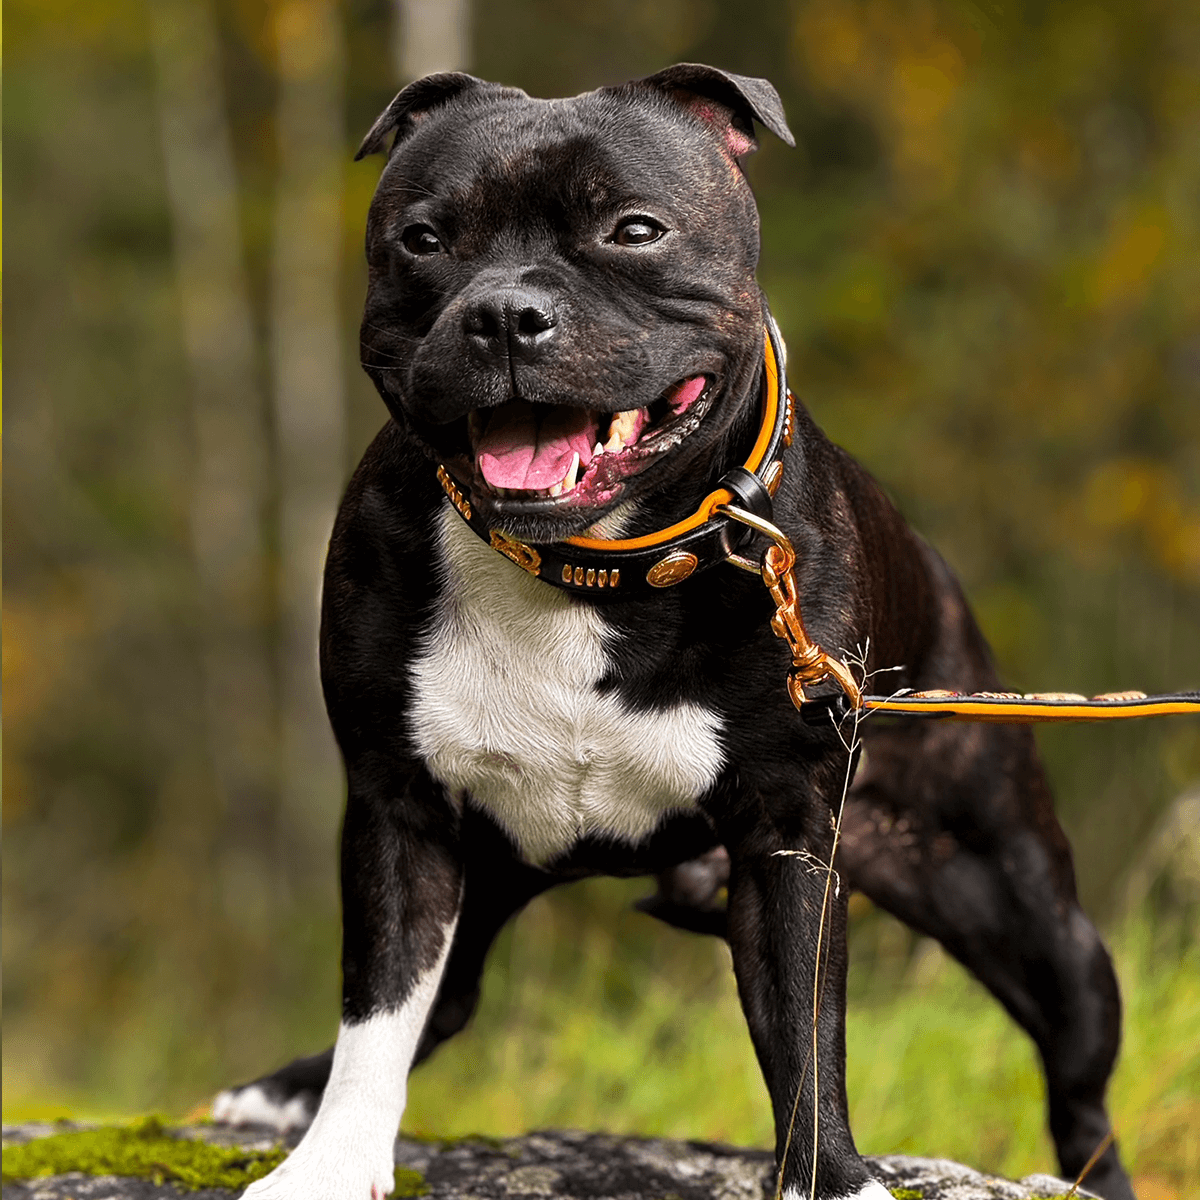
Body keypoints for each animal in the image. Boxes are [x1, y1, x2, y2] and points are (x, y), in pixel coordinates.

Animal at [218, 65, 1132, 1200]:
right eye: (424, 240)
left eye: (636, 230)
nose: (505, 314)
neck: (590, 570)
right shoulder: (400, 807)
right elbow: (380, 1001)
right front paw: (331, 1160)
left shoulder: (790, 840)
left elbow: (805, 1036)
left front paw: (837, 1175)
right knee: (447, 993)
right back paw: (286, 1089)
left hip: (1030, 914)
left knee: (1081, 1088)